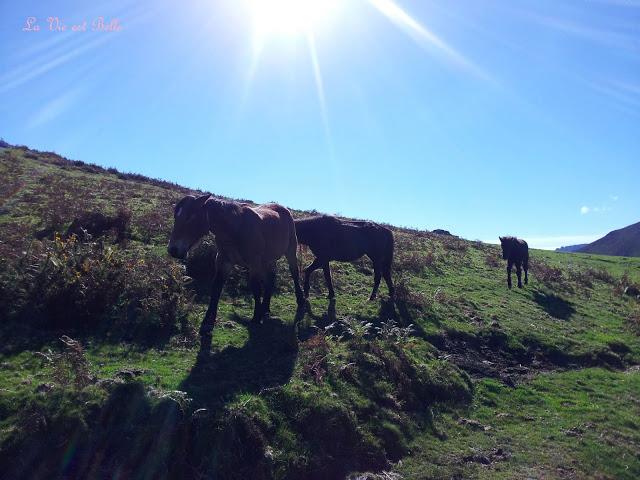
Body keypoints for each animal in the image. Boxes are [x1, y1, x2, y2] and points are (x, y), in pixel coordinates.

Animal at [168, 193, 302, 350]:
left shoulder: (254, 263)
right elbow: (216, 289)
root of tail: (283, 209)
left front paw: (256, 317)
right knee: (271, 279)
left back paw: (299, 300)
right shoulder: (223, 262)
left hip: (290, 251)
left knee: (294, 273)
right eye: (176, 216)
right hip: (268, 259)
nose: (173, 250)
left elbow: (255, 288)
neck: (235, 228)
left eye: (190, 217)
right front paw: (207, 323)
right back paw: (266, 308)